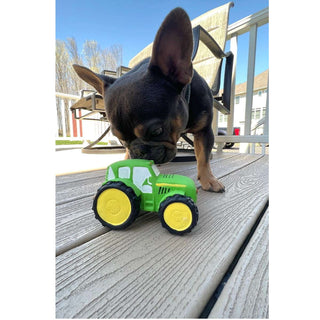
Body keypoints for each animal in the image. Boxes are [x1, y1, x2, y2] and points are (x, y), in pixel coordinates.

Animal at [73, 6, 225, 192]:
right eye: (119, 139)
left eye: (157, 131)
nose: (138, 152)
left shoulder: (204, 132)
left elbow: (203, 156)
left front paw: (208, 179)